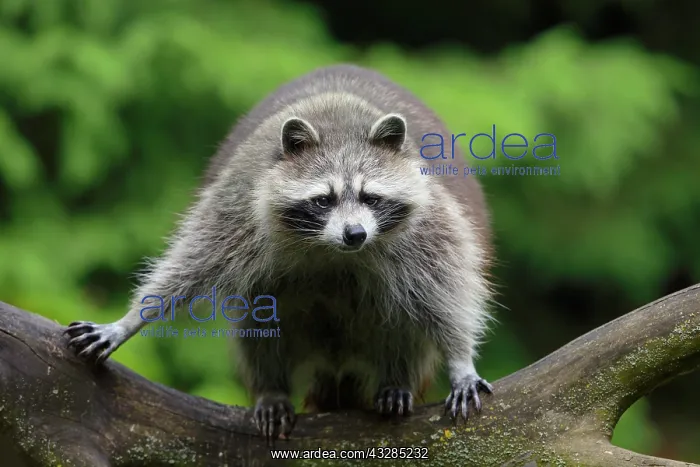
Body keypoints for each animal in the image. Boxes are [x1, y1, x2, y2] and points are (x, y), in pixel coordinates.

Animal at [64, 64, 495, 442]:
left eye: (371, 197)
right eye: (324, 199)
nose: (355, 234)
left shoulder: (426, 225)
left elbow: (447, 289)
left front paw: (460, 361)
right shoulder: (241, 200)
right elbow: (191, 260)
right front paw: (130, 319)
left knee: (404, 319)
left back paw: (396, 379)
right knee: (263, 321)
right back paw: (272, 387)